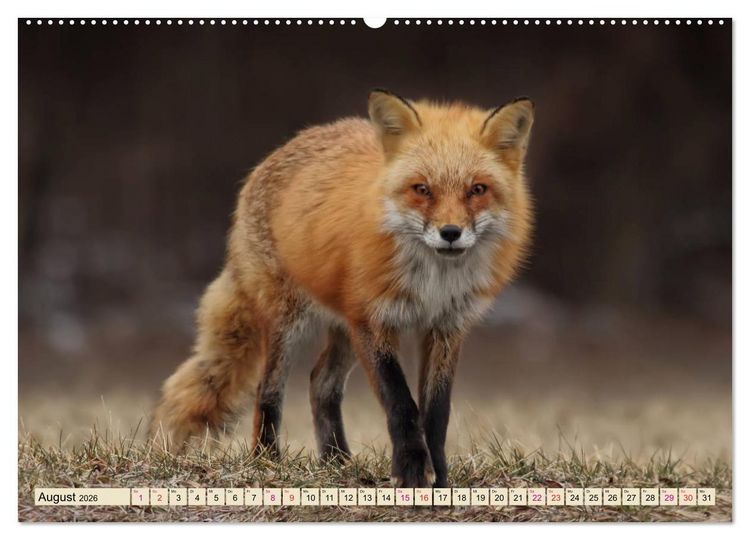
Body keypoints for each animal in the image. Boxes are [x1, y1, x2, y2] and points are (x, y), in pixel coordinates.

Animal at [152, 89, 534, 488]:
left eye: (477, 190)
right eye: (422, 189)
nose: (450, 233)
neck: (433, 282)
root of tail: (280, 150)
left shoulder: (446, 328)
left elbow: (436, 413)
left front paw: (439, 478)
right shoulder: (373, 320)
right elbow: (401, 403)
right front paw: (411, 471)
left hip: (345, 329)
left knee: (320, 383)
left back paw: (337, 461)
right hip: (290, 321)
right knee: (267, 389)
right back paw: (267, 460)